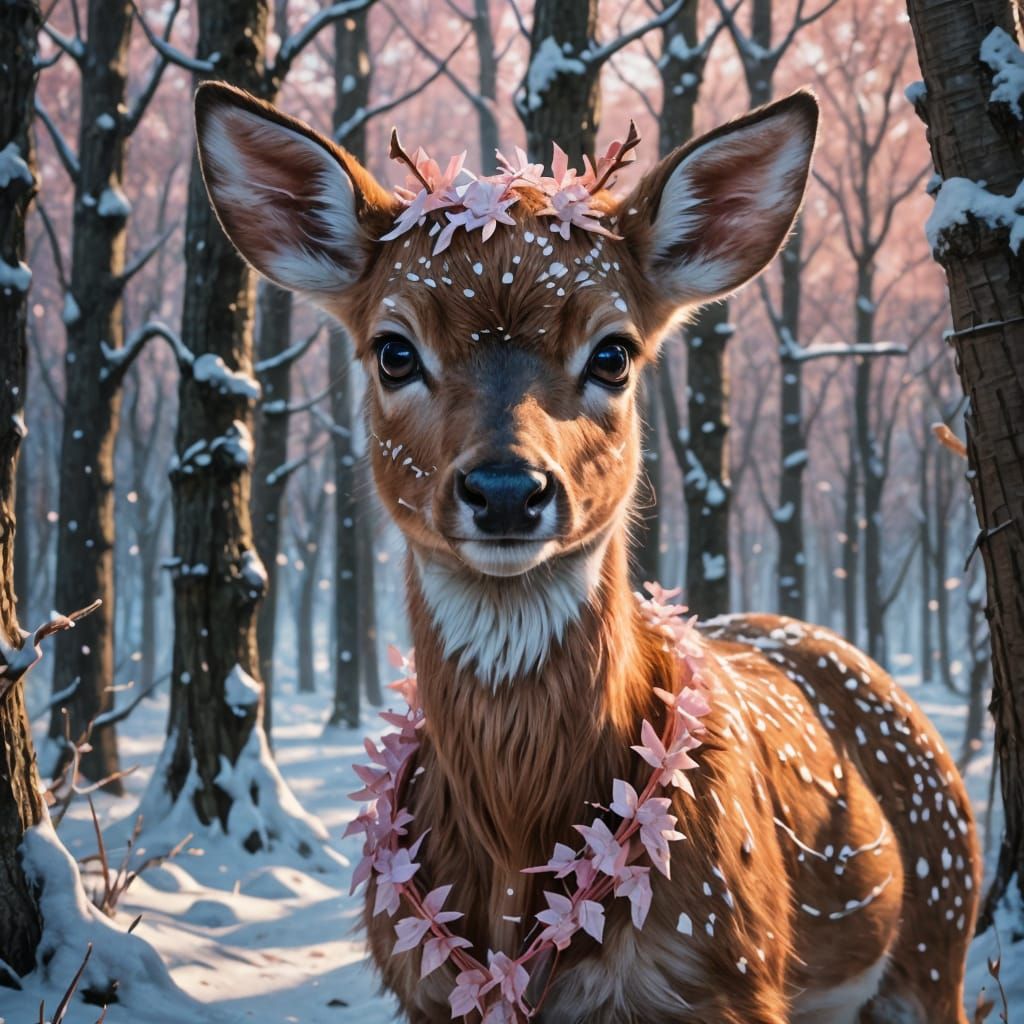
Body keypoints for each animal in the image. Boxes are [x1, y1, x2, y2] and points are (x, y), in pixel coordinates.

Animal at [194, 81, 980, 1024]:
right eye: (393, 350)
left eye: (614, 352)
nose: (506, 489)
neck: (512, 849)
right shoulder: (423, 989)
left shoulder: (727, 972)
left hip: (937, 938)